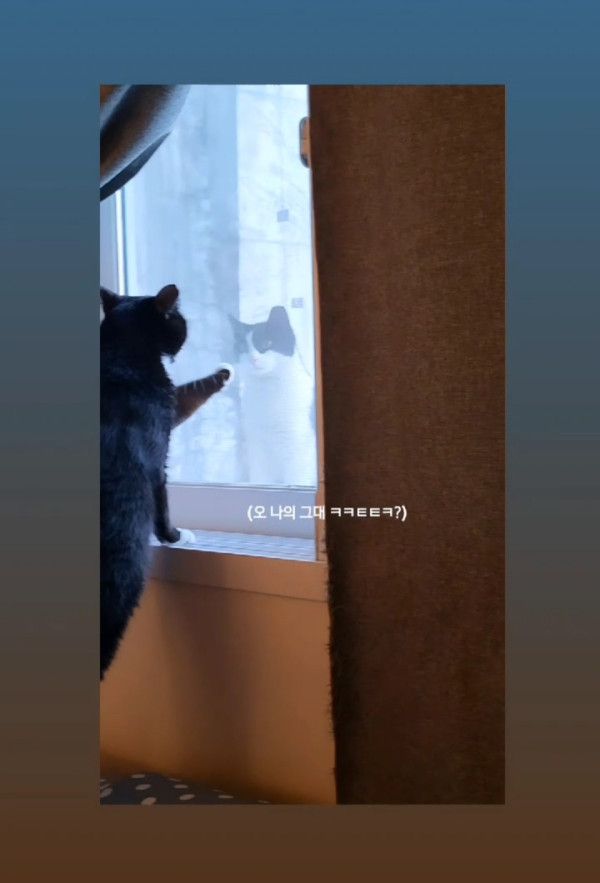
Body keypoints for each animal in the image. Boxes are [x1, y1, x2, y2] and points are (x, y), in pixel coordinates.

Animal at [100, 284, 229, 679]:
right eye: (178, 319)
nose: (185, 326)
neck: (117, 354)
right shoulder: (158, 457)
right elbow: (163, 506)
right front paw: (174, 535)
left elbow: (189, 393)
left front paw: (222, 374)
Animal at [229, 306, 317, 487]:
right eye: (242, 347)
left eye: (266, 343)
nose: (253, 359)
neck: (267, 391)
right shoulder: (257, 446)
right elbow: (260, 478)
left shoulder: (299, 452)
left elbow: (296, 479)